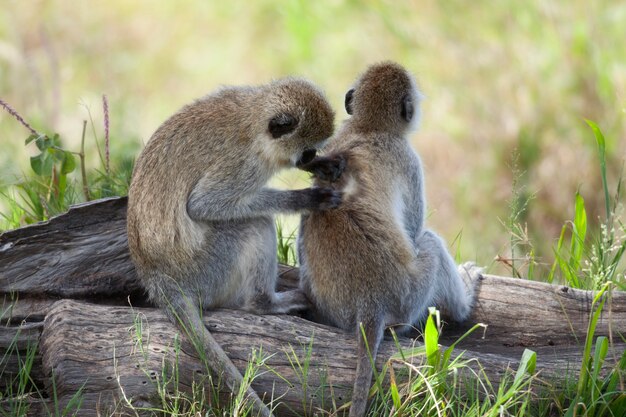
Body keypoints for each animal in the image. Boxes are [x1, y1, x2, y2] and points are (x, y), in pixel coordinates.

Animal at [127, 76, 342, 414]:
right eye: (306, 152)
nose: (309, 160)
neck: (253, 118)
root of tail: (157, 278)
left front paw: (323, 168)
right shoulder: (243, 165)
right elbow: (203, 205)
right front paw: (304, 198)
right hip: (209, 270)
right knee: (256, 225)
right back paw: (264, 303)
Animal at [298, 62, 482, 416]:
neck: (369, 128)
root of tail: (370, 305)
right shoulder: (409, 160)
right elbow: (414, 228)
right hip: (409, 299)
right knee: (430, 244)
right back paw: (464, 302)